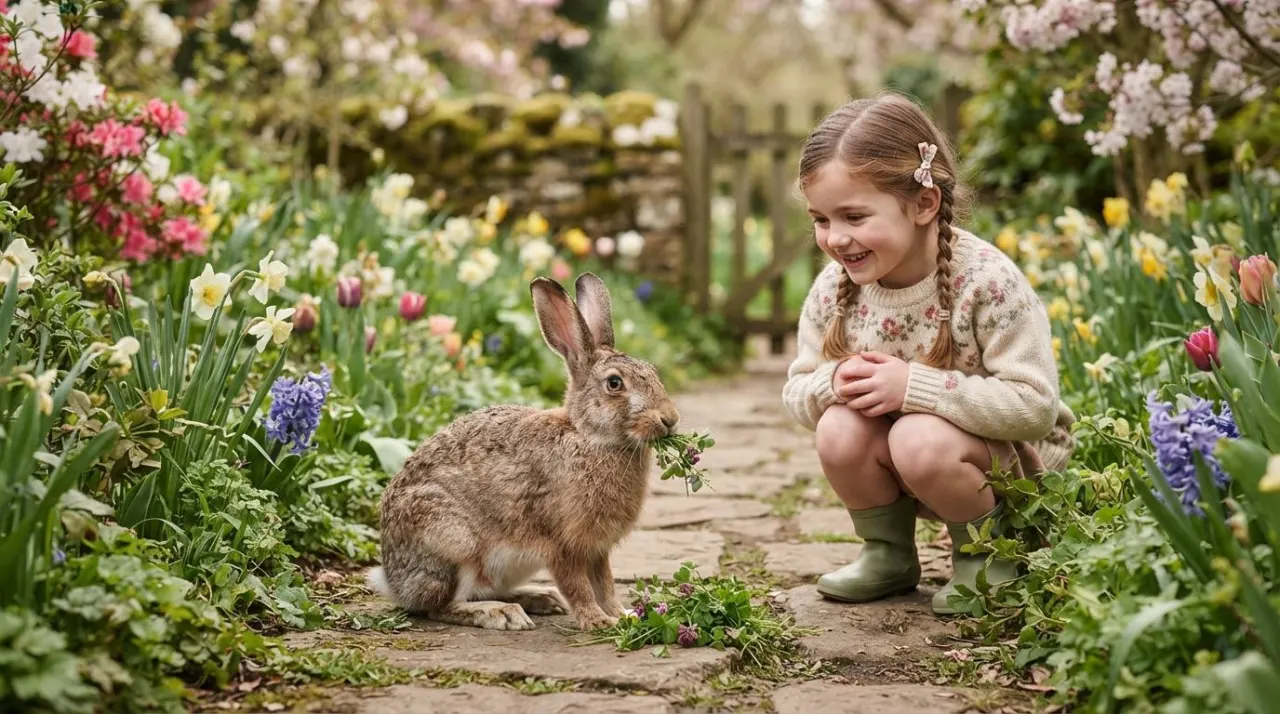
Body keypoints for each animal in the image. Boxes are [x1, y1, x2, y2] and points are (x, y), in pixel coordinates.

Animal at [367, 272, 680, 632]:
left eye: (653, 374)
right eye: (615, 384)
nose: (670, 419)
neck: (587, 437)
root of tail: (392, 580)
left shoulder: (597, 549)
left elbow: (606, 583)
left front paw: (623, 615)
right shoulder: (562, 544)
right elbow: (579, 586)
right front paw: (599, 621)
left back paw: (539, 599)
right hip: (452, 541)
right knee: (440, 606)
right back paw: (501, 613)